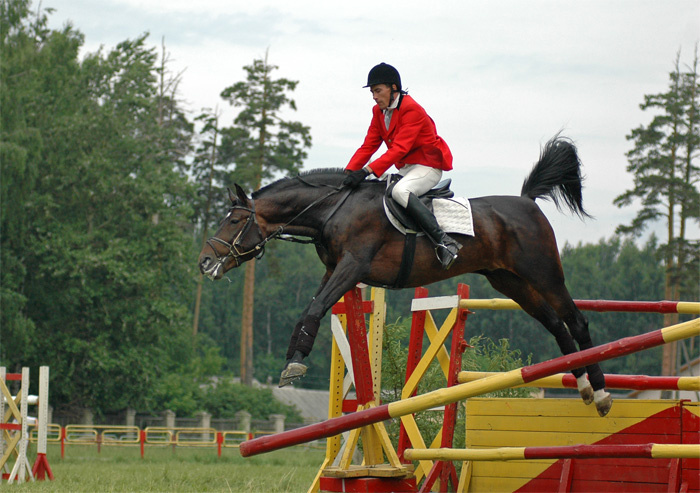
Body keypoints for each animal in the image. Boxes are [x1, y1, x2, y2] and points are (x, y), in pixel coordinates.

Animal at [198, 136, 613, 417]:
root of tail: (527, 202)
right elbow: (310, 309)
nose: (204, 262)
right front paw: (292, 361)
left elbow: (314, 309)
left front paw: (294, 365)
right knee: (557, 326)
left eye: (233, 221)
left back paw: (603, 393)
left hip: (543, 274)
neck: (334, 209)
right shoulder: (334, 270)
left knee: (575, 320)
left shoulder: (352, 266)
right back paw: (584, 388)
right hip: (510, 282)